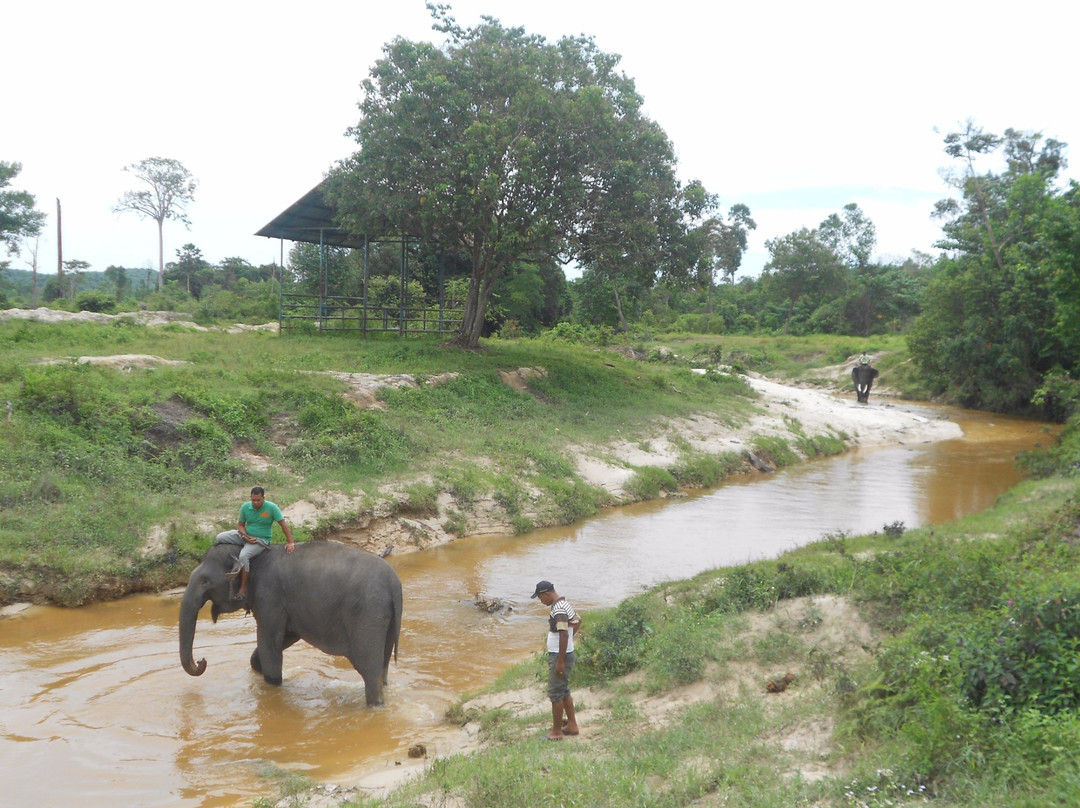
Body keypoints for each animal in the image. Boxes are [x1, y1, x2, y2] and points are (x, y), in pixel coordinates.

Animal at [179, 538, 402, 706]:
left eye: (204, 581)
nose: (202, 661)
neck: (253, 556)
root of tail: (395, 586)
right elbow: (286, 636)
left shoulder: (269, 596)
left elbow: (270, 640)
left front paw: (273, 685)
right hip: (385, 619)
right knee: (382, 667)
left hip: (367, 616)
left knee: (369, 670)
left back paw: (373, 706)